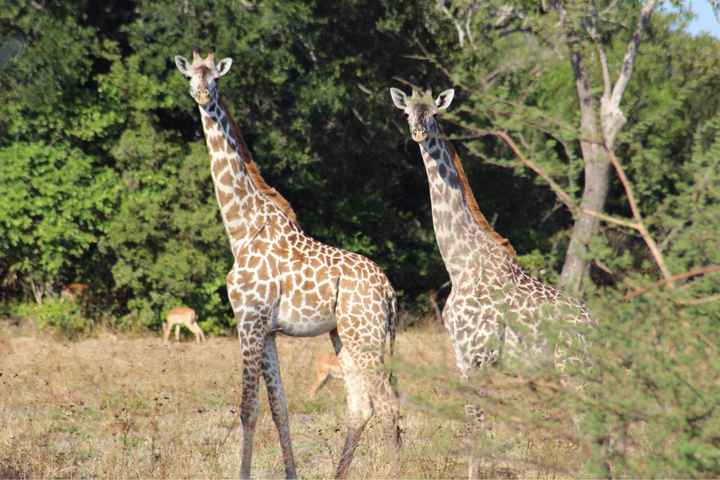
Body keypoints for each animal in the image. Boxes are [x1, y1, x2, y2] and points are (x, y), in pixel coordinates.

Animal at [174, 49, 400, 480]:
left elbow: (247, 408)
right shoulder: (268, 331)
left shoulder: (248, 319)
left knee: (388, 404)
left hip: (365, 335)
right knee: (362, 406)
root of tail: (390, 292)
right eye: (190, 75)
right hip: (345, 334)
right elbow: (279, 407)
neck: (241, 228)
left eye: (216, 78)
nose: (202, 95)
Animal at [390, 88, 592, 478]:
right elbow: (477, 417)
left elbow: (478, 419)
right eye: (407, 113)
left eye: (434, 114)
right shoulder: (461, 354)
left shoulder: (478, 355)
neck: (459, 262)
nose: (418, 133)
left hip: (573, 367)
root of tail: (598, 328)